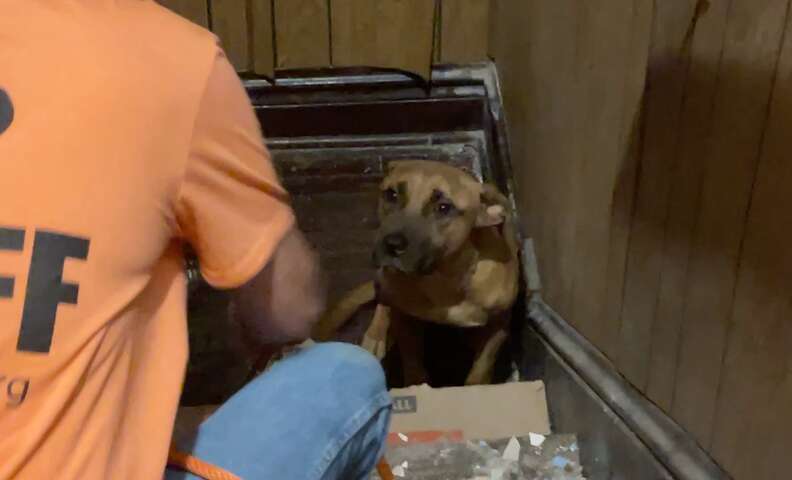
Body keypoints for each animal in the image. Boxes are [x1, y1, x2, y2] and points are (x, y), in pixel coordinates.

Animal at [316, 160, 520, 386]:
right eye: (392, 194)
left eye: (443, 207)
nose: (392, 245)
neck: (443, 279)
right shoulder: (403, 318)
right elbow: (412, 360)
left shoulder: (499, 324)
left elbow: (482, 366)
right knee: (383, 301)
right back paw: (376, 334)